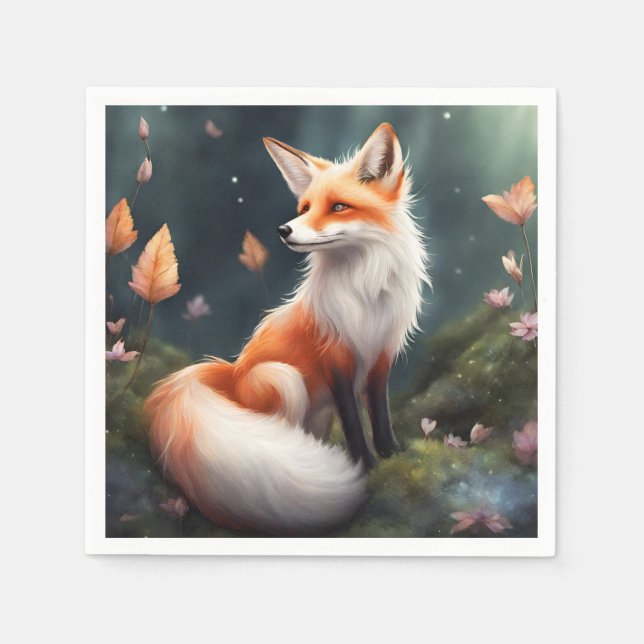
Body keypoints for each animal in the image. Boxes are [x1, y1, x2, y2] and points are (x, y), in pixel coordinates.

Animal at [144, 123, 429, 535]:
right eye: (305, 208)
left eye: (339, 206)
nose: (283, 229)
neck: (364, 294)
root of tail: (230, 373)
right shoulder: (334, 356)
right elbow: (355, 422)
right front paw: (365, 467)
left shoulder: (381, 354)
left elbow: (380, 414)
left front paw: (393, 455)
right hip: (284, 379)